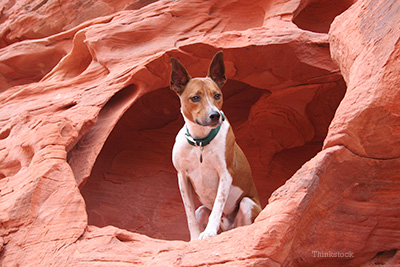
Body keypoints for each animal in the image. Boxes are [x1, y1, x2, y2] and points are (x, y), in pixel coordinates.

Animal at [170, 51, 260, 241]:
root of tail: (227, 227)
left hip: (247, 203)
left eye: (217, 95)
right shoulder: (182, 177)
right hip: (202, 209)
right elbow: (189, 214)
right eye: (195, 98)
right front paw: (194, 238)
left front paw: (209, 232)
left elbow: (218, 205)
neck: (201, 142)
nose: (214, 115)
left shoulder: (225, 174)